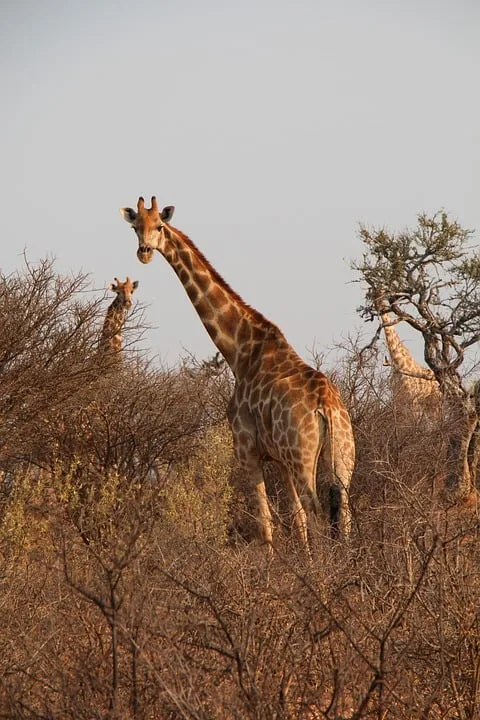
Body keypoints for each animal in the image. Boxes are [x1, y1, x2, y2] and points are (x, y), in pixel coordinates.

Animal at [118, 197, 354, 552]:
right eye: (135, 227)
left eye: (159, 225)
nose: (144, 252)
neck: (240, 351)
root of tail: (326, 406)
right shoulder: (279, 458)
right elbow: (295, 520)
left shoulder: (246, 449)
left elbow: (266, 525)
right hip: (342, 455)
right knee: (343, 513)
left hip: (303, 456)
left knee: (318, 512)